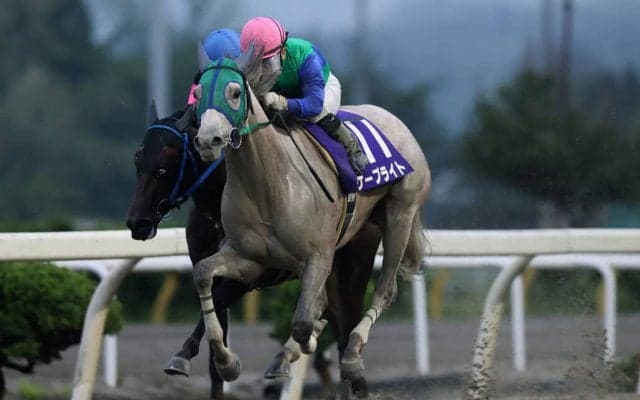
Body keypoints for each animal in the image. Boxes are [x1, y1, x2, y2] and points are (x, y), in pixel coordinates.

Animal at [125, 103, 380, 399]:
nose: (138, 222)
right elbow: (213, 339)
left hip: (351, 268)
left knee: (346, 331)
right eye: (138, 159)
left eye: (168, 162)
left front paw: (185, 355)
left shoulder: (250, 272)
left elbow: (217, 303)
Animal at [190, 53, 430, 388]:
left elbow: (303, 322)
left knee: (385, 290)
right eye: (198, 93)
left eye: (235, 92)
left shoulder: (317, 255)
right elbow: (202, 273)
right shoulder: (251, 259)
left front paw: (310, 340)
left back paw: (352, 353)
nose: (207, 141)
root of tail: (394, 121)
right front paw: (226, 361)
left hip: (400, 214)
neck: (268, 183)